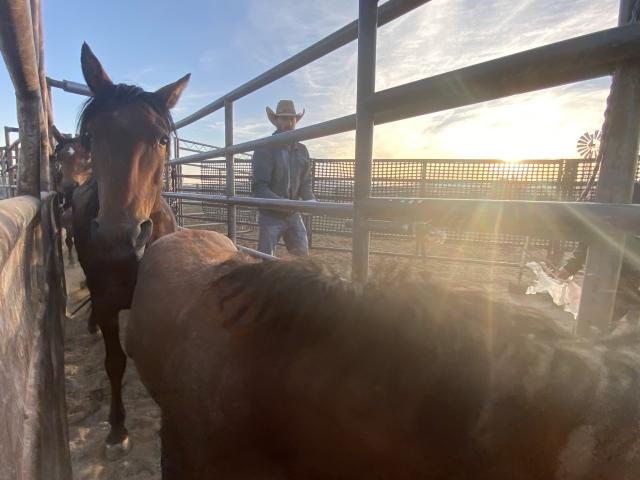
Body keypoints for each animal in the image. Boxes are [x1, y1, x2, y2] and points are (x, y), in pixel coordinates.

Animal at [50, 125, 92, 264]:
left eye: (88, 156)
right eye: (59, 157)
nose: (69, 188)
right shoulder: (67, 224)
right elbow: (68, 241)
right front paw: (71, 260)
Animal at [72, 43, 189, 460]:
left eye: (161, 139)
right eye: (91, 136)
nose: (117, 239)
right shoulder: (108, 302)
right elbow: (114, 362)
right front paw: (117, 429)